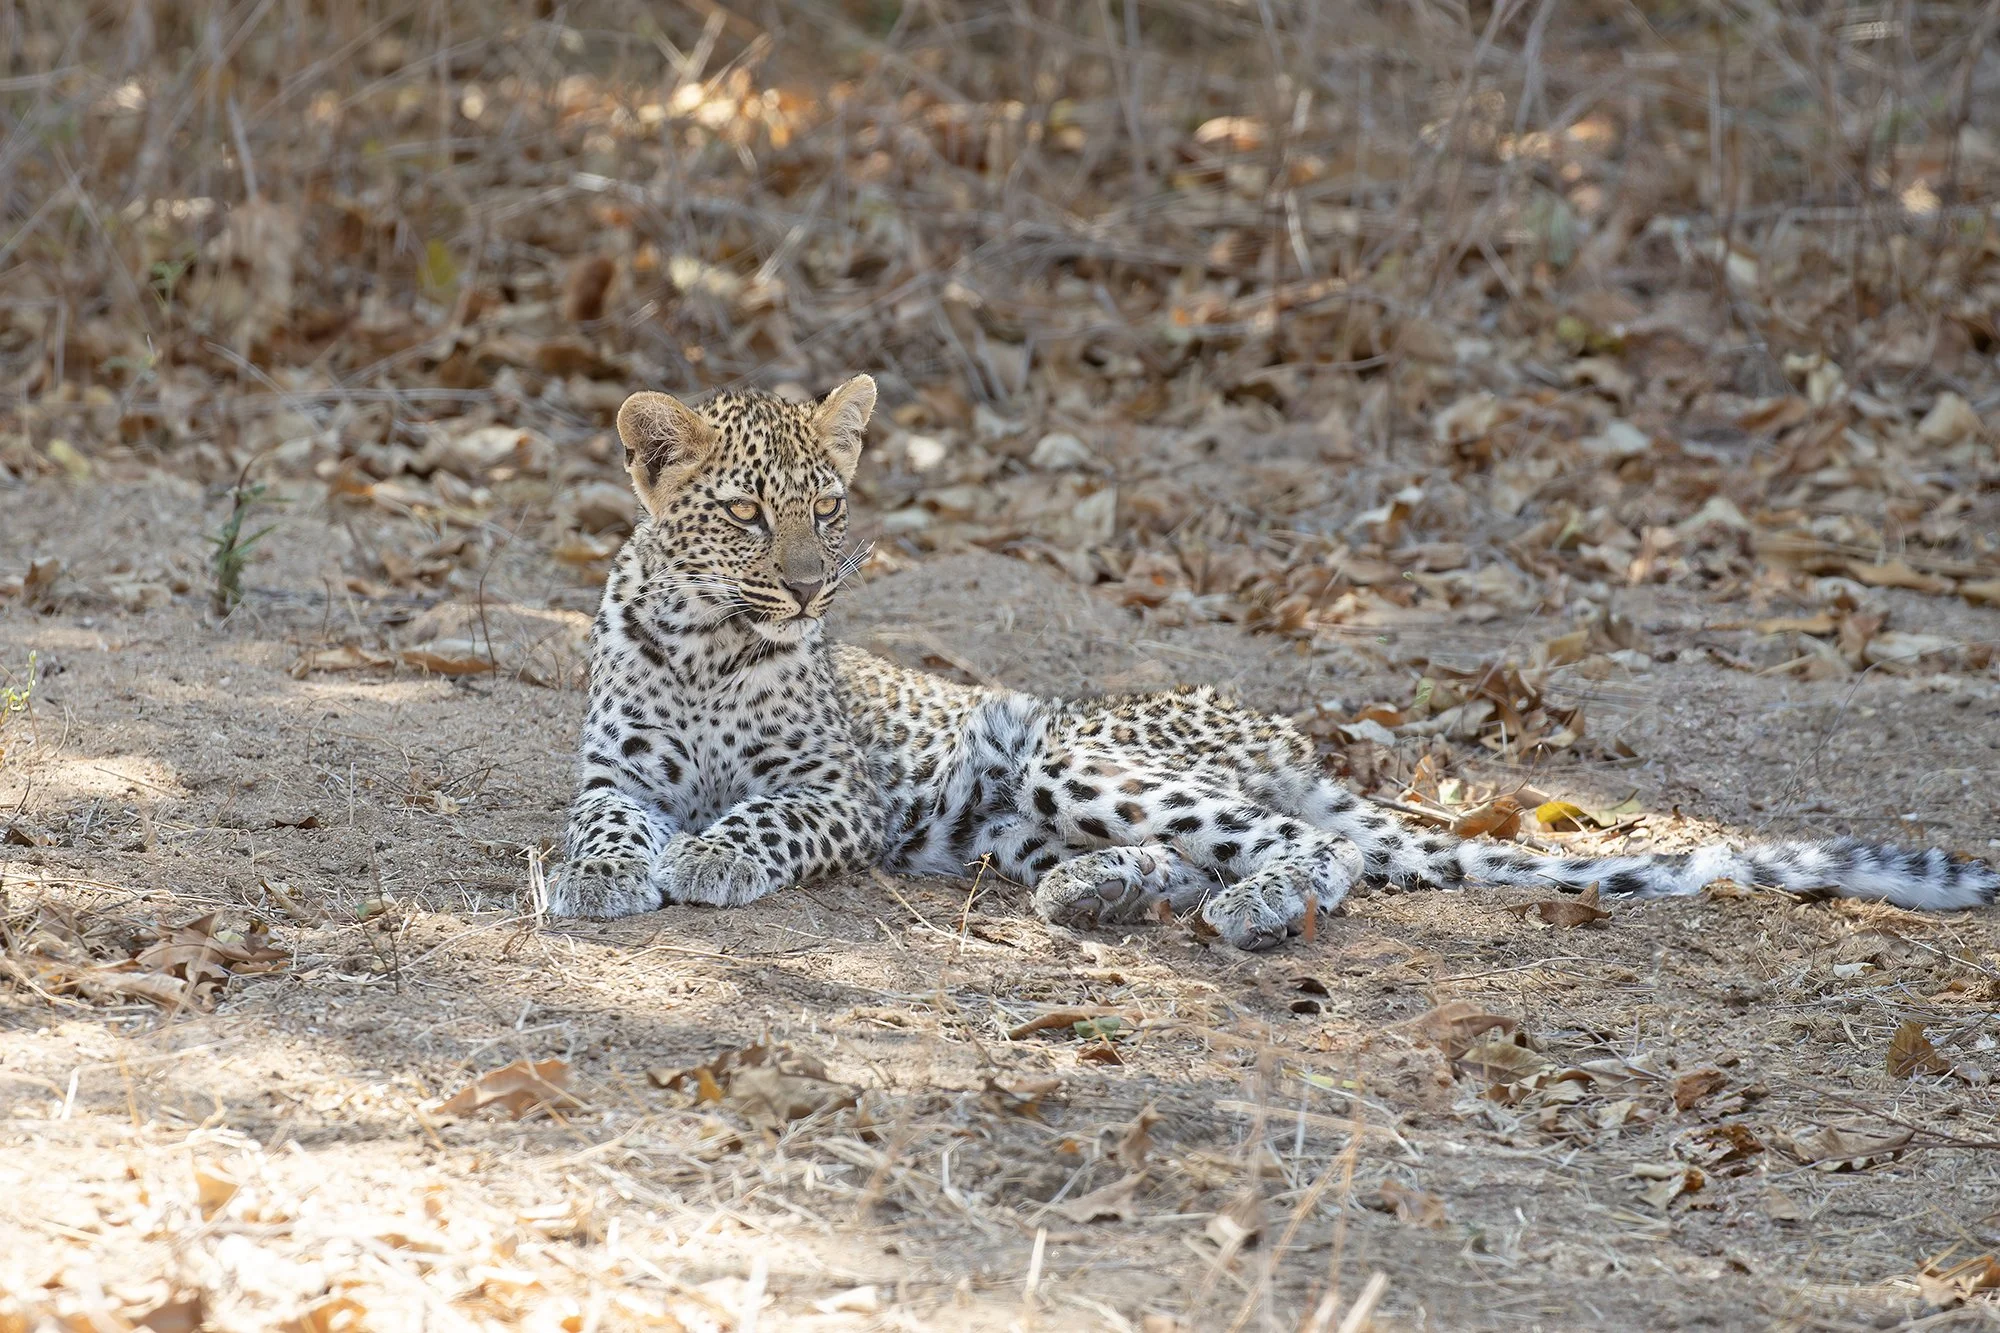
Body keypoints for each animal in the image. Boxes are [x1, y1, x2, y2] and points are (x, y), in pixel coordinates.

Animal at [544, 375, 1997, 950]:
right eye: (746, 514)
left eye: (830, 507)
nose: (809, 584)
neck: (709, 645)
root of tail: (1283, 736)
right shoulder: (613, 771)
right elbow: (606, 822)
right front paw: (603, 876)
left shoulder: (832, 787)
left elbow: (766, 813)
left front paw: (709, 857)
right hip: (1013, 815)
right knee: (1185, 855)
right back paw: (1097, 897)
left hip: (1075, 750)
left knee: (1317, 849)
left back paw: (1244, 906)